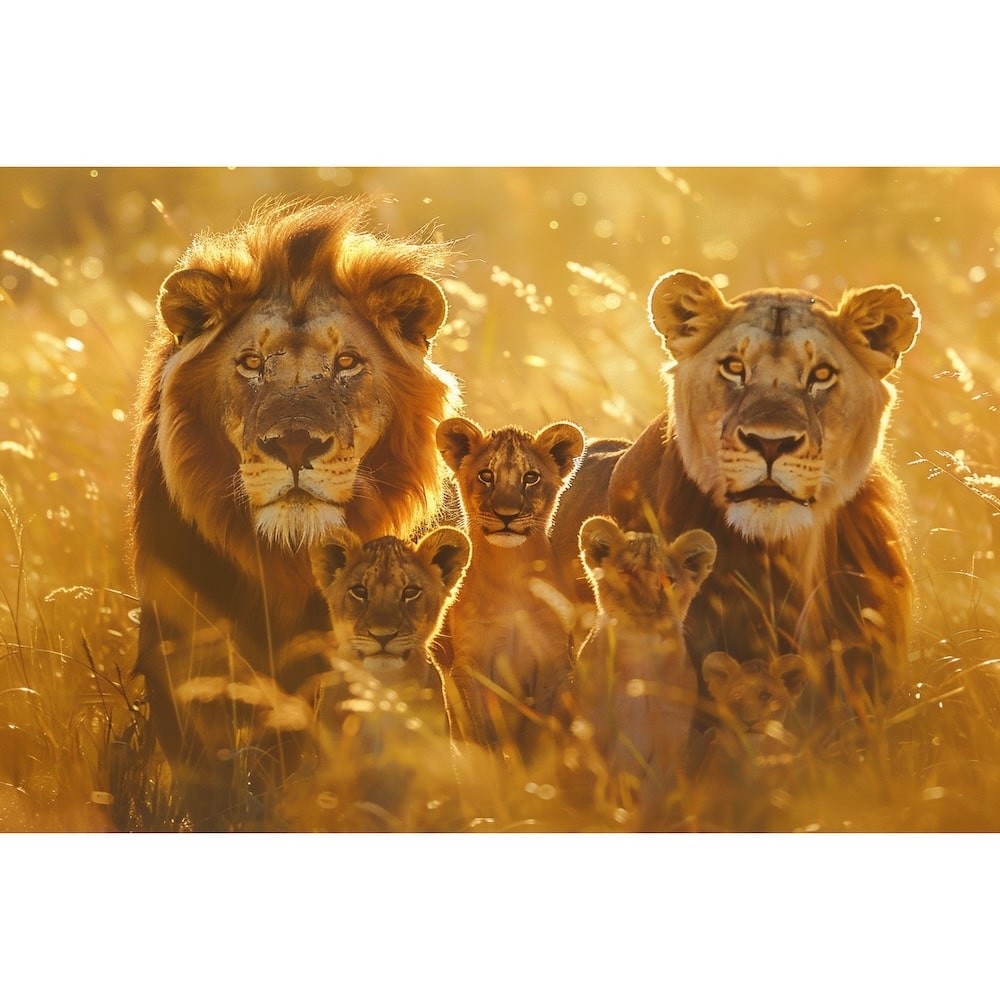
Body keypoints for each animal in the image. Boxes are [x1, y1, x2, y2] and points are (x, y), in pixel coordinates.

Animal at [435, 417, 585, 765]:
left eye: (531, 477)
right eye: (486, 476)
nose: (506, 514)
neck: (510, 571)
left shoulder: (553, 661)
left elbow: (538, 736)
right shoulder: (469, 664)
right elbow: (485, 739)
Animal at [564, 516, 716, 822]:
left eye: (668, 581)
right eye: (624, 574)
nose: (646, 607)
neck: (640, 657)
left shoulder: (669, 745)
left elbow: (650, 806)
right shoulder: (590, 734)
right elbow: (594, 793)